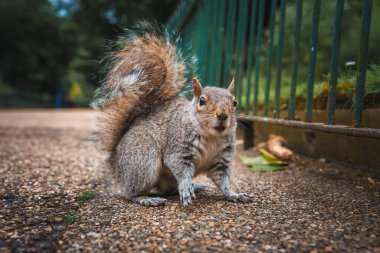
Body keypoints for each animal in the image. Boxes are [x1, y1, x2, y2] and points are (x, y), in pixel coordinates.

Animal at [91, 26, 252, 207]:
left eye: (235, 102)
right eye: (202, 101)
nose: (223, 115)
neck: (211, 136)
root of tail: (114, 163)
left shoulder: (221, 160)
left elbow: (223, 181)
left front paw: (235, 194)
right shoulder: (178, 148)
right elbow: (179, 167)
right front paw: (186, 185)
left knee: (169, 190)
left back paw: (195, 186)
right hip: (143, 161)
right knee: (131, 192)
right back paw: (148, 198)